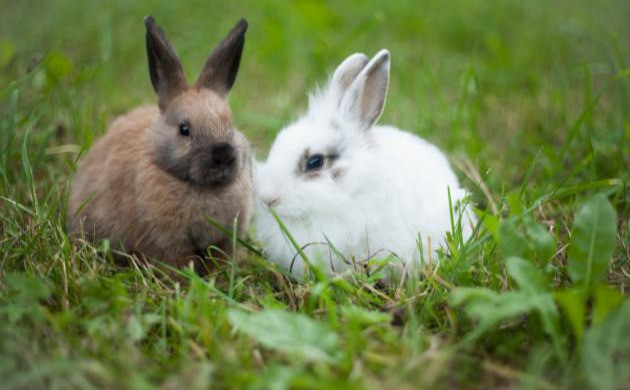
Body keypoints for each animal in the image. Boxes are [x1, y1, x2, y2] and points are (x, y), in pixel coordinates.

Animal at [68, 16, 254, 270]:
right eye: (184, 130)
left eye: (231, 124)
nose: (224, 154)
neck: (201, 188)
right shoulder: (167, 243)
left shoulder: (226, 240)